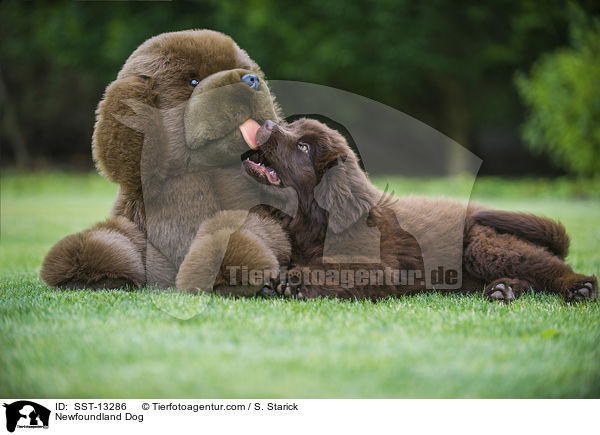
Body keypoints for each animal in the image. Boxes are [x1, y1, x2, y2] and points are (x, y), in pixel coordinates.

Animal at [243, 119, 596, 304]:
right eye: (289, 126)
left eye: (303, 147)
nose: (267, 123)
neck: (315, 223)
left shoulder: (382, 267)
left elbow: (339, 270)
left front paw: (295, 280)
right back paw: (503, 289)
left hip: (483, 245)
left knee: (548, 267)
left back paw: (579, 287)